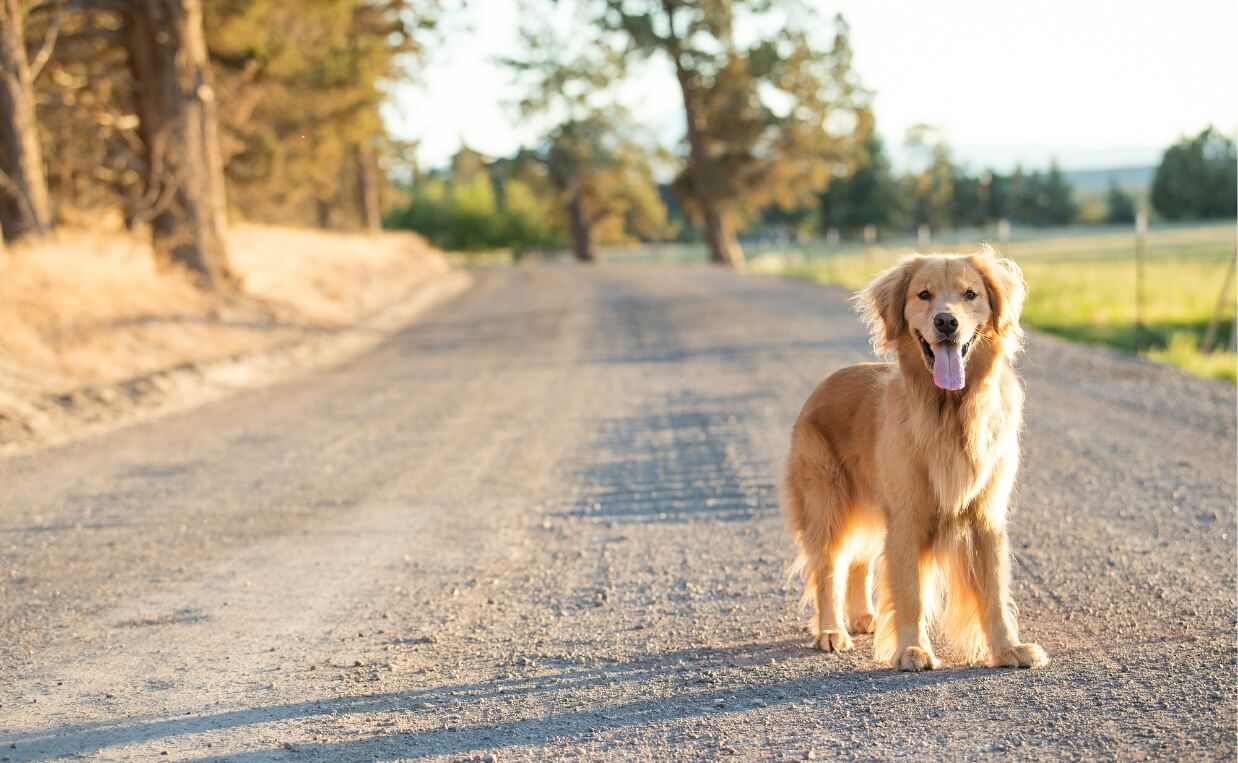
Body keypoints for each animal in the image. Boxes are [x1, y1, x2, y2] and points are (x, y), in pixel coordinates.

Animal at [782, 247, 1044, 668]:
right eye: (924, 295)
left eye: (970, 294)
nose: (946, 321)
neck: (950, 410)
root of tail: (822, 385)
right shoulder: (907, 515)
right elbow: (910, 592)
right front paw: (912, 649)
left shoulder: (985, 517)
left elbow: (994, 594)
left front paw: (1008, 648)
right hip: (827, 503)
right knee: (828, 569)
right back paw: (832, 630)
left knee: (859, 562)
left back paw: (862, 616)